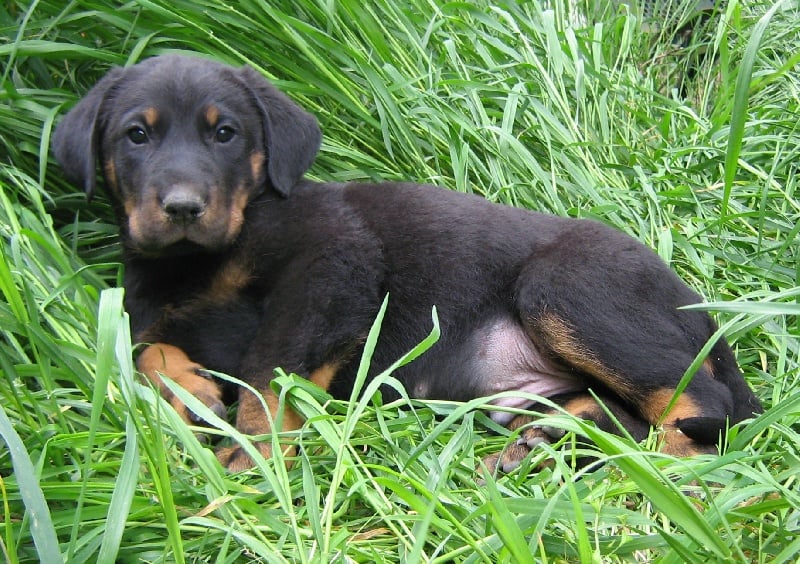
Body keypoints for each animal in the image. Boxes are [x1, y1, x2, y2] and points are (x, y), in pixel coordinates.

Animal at [52, 55, 762, 473]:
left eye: (224, 133)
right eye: (136, 136)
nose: (181, 207)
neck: (194, 263)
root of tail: (699, 310)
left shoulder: (333, 263)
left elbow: (271, 368)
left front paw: (251, 457)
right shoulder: (147, 313)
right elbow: (145, 350)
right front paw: (191, 390)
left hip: (566, 288)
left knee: (702, 403)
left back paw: (651, 467)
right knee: (628, 407)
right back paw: (549, 443)